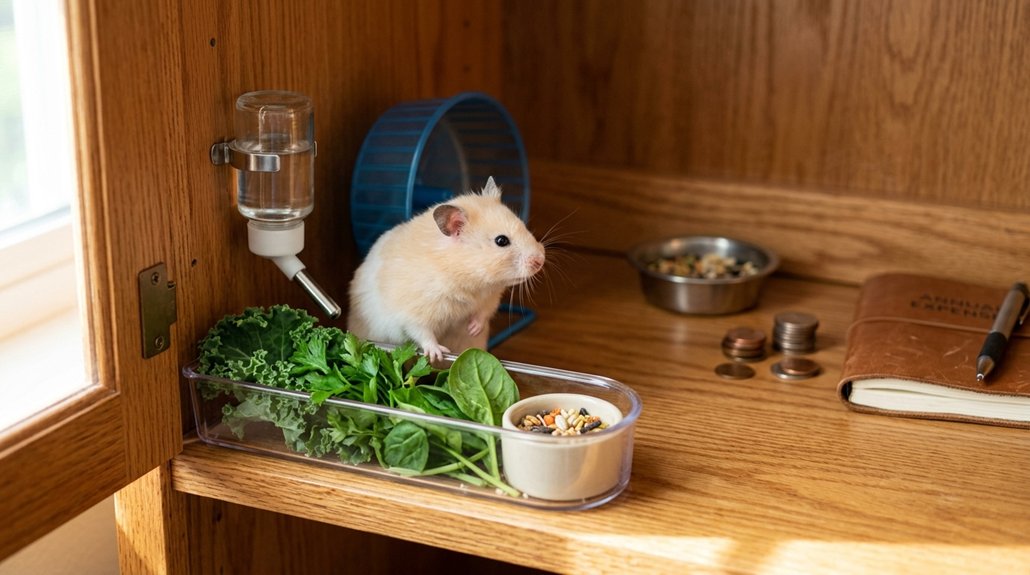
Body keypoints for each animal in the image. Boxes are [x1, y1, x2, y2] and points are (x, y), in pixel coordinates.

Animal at [347, 177, 546, 362]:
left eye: (523, 225)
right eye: (501, 241)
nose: (541, 260)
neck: (470, 279)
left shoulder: (490, 298)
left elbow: (483, 313)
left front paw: (473, 329)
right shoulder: (414, 311)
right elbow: (422, 332)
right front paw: (437, 354)